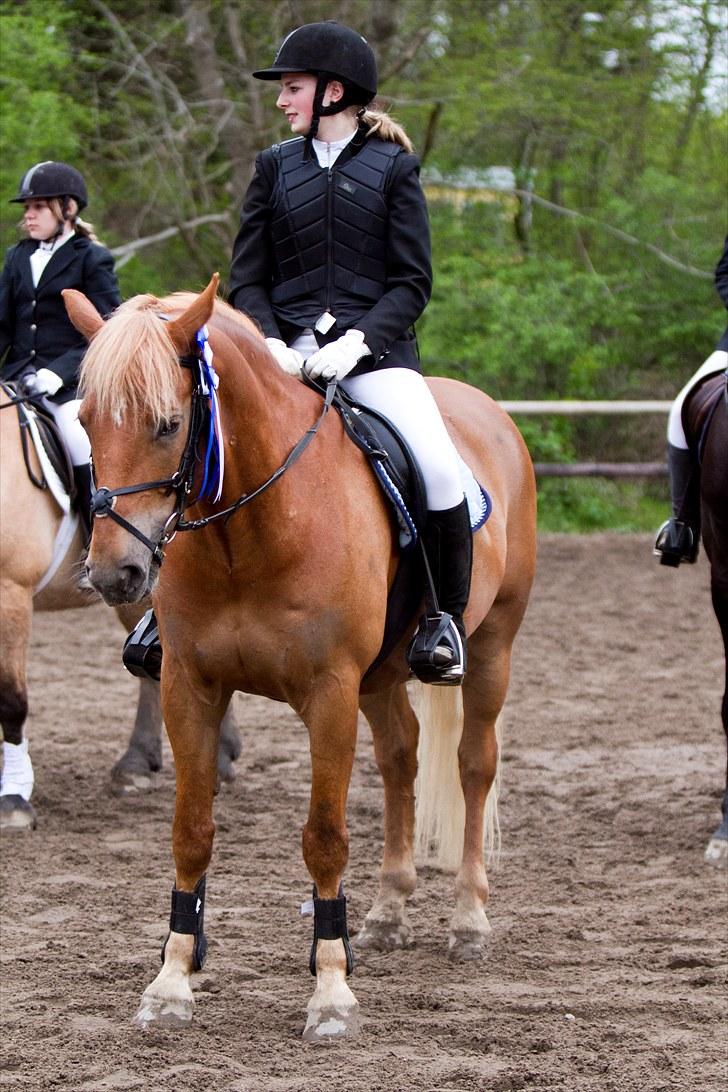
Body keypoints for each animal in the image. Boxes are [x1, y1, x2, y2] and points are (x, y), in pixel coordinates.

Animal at [65, 273, 539, 1039]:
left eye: (168, 423)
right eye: (84, 419)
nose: (114, 574)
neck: (249, 531)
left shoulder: (329, 693)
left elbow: (324, 838)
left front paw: (332, 992)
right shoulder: (189, 687)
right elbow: (191, 832)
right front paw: (171, 982)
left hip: (493, 644)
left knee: (474, 764)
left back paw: (469, 919)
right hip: (381, 679)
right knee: (401, 759)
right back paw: (387, 913)